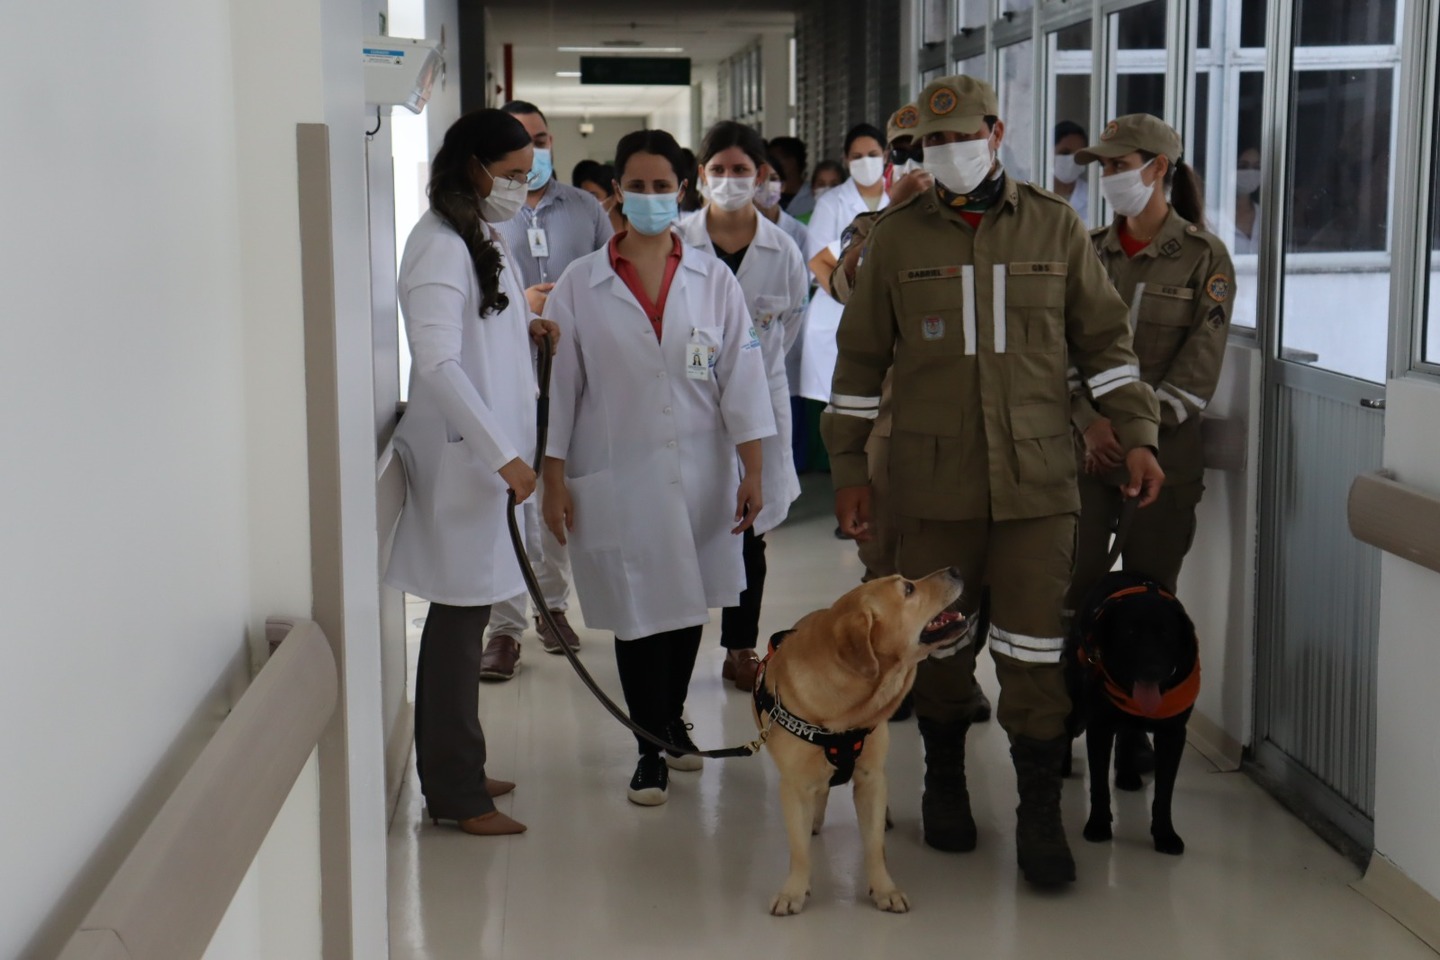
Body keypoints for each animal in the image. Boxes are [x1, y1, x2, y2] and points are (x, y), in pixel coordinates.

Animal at [754, 567, 967, 921]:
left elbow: (874, 845)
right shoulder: (794, 787)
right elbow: (799, 850)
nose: (955, 569)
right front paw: (794, 891)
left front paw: (884, 889)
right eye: (908, 589)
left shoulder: (870, 780)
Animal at [1065, 569, 1198, 857]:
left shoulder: (1173, 735)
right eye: (1129, 632)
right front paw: (1098, 825)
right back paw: (1063, 765)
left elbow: (1164, 793)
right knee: (1066, 726)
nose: (1151, 670)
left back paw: (1126, 774)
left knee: (1127, 733)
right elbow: (1099, 785)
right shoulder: (1099, 727)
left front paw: (1165, 834)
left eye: (1166, 633)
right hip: (1075, 693)